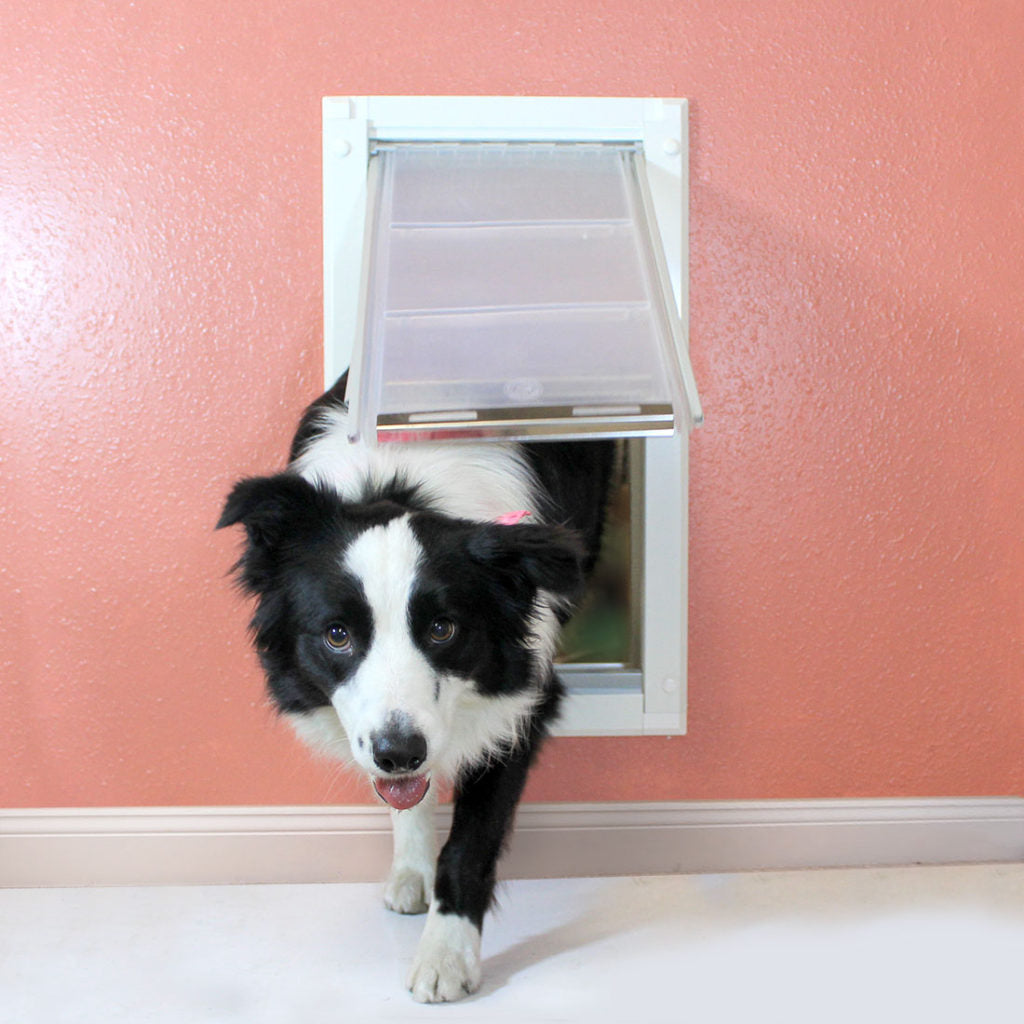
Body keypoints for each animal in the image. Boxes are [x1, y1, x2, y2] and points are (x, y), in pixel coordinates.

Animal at [219, 374, 610, 999]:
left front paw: (446, 957)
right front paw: (413, 868)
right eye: (337, 635)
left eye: (442, 629)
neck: (401, 482)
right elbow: (405, 794)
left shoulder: (525, 691)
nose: (399, 752)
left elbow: (471, 841)